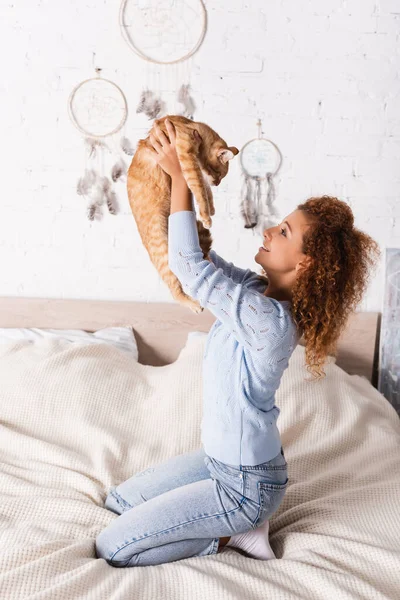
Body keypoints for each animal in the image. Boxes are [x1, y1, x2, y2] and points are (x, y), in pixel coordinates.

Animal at [127, 114, 238, 316]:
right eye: (219, 174)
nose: (218, 184)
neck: (193, 126)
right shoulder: (186, 154)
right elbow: (199, 186)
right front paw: (207, 215)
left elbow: (202, 187)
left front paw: (210, 209)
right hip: (165, 254)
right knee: (176, 289)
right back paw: (194, 304)